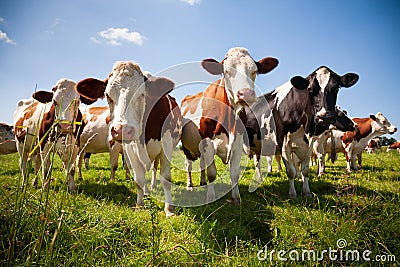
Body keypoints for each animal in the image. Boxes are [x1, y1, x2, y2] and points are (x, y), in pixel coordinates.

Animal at [75, 61, 181, 218]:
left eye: (142, 94)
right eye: (107, 95)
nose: (121, 130)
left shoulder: (166, 145)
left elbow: (166, 178)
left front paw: (169, 209)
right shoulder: (130, 148)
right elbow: (138, 179)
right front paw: (139, 205)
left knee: (154, 169)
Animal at [181, 47, 278, 204]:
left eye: (254, 71)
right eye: (226, 71)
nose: (246, 94)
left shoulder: (237, 142)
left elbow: (234, 173)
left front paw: (236, 198)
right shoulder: (208, 142)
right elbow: (212, 173)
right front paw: (211, 197)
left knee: (202, 164)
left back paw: (202, 182)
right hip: (186, 146)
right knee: (188, 165)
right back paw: (190, 186)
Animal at [244, 67, 360, 199]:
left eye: (336, 88)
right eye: (310, 89)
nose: (323, 116)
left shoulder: (309, 143)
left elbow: (305, 169)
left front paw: (307, 192)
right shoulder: (284, 144)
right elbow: (291, 171)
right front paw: (292, 193)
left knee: (256, 161)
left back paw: (258, 178)